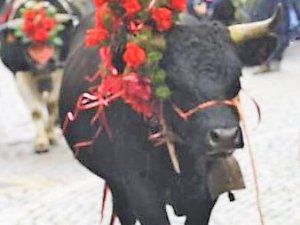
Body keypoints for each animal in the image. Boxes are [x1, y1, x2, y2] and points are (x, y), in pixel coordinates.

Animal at [60, 5, 282, 225]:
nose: (225, 137)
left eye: (238, 76)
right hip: (115, 183)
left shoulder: (206, 195)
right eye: (171, 82)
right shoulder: (141, 193)